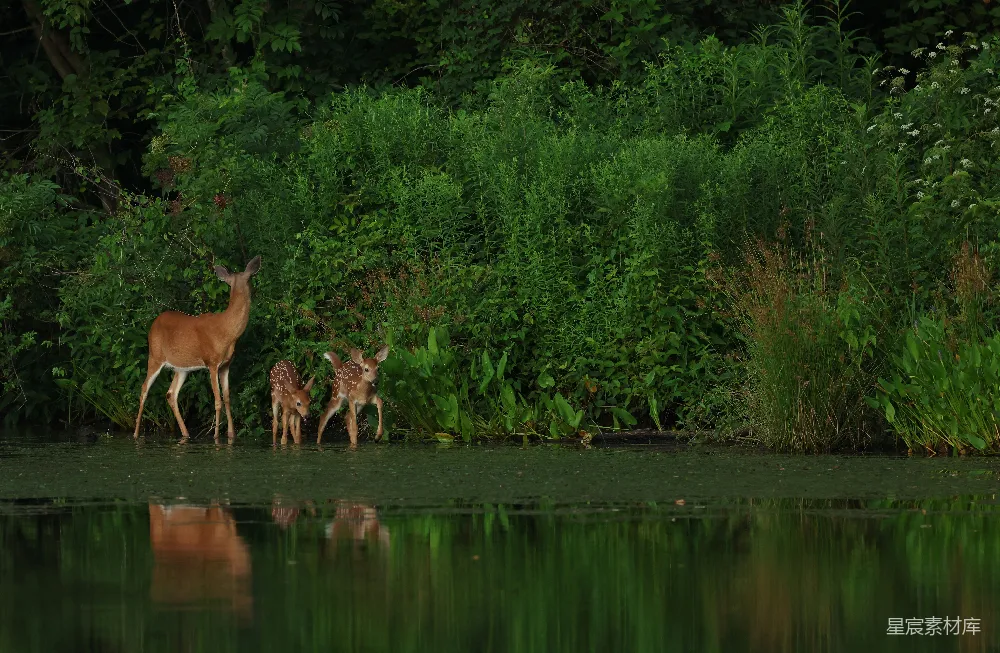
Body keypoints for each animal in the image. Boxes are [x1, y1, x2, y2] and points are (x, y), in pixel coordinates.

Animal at [133, 256, 261, 444]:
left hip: (181, 368)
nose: (254, 290)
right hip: (155, 356)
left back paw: (186, 434)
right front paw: (216, 436)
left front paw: (231, 435)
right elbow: (217, 400)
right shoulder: (212, 362)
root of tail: (154, 322)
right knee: (144, 389)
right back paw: (135, 434)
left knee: (171, 394)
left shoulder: (226, 365)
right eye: (249, 278)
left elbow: (228, 398)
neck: (227, 331)